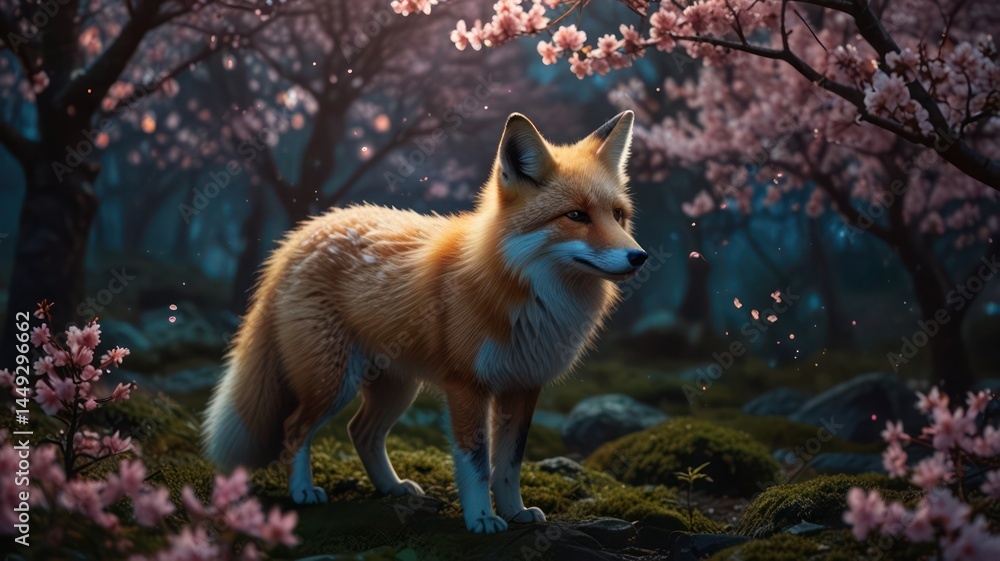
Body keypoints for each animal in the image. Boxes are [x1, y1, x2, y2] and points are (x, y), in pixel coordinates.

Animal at [204, 111, 647, 533]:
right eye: (576, 215)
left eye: (618, 215)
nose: (639, 257)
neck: (526, 295)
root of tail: (302, 233)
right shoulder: (468, 386)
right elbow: (476, 462)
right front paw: (481, 519)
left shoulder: (523, 385)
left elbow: (509, 464)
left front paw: (515, 512)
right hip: (333, 383)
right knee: (294, 429)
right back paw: (302, 492)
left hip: (396, 388)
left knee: (360, 432)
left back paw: (391, 488)